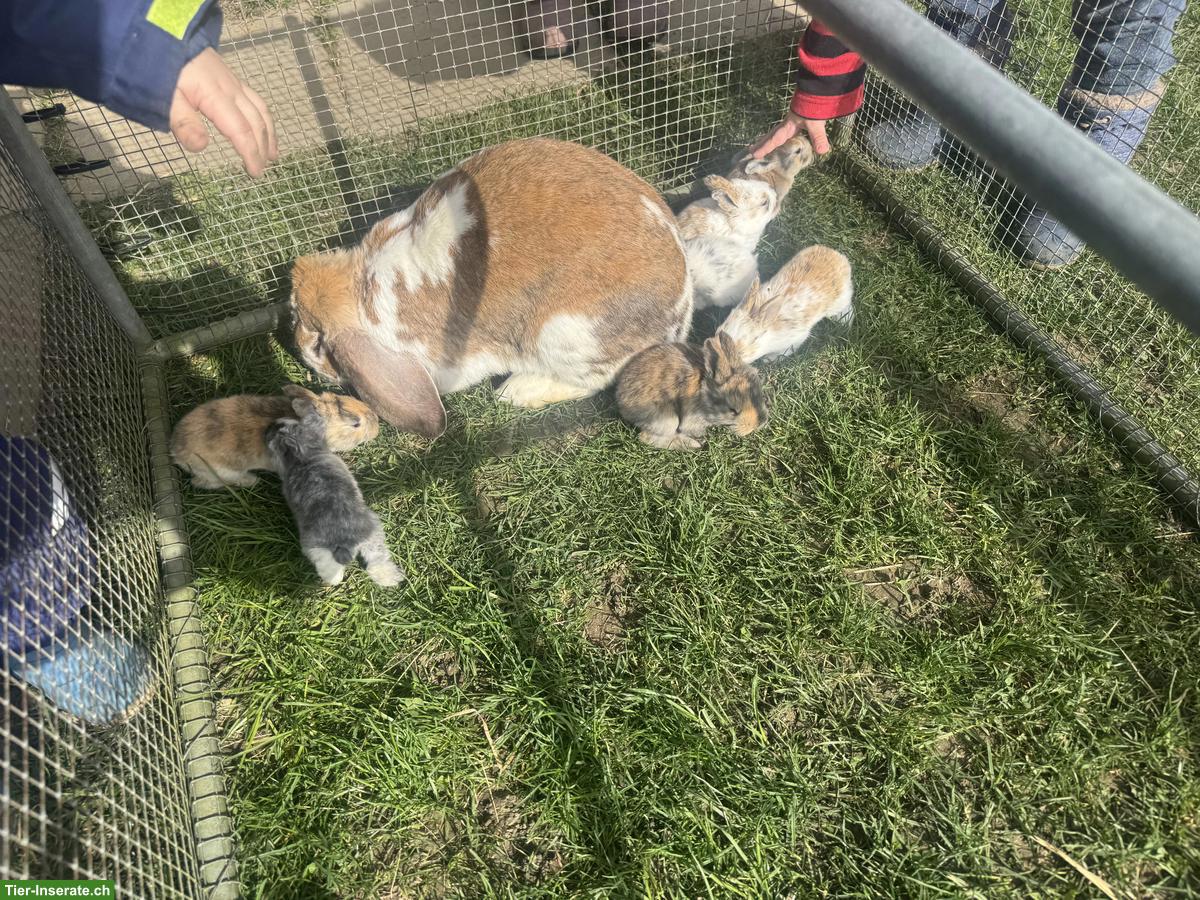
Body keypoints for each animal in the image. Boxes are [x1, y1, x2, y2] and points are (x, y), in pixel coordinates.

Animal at [266, 406, 404, 588]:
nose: (271, 424)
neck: (301, 454)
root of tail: (344, 536)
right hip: (373, 534)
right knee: (377, 560)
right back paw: (388, 577)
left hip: (314, 544)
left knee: (327, 563)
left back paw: (333, 578)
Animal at [288, 138, 694, 440]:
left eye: (317, 342)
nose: (298, 346)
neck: (363, 288)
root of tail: (680, 312)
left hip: (564, 333)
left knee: (595, 380)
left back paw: (516, 391)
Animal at [615, 332, 768, 450]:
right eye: (733, 411)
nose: (757, 425)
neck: (704, 393)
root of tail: (621, 400)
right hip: (667, 420)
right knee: (646, 437)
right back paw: (693, 444)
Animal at [718, 245, 854, 364]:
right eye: (718, 331)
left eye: (741, 351)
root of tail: (840, 259)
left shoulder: (795, 340)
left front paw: (768, 360)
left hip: (839, 301)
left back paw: (846, 321)